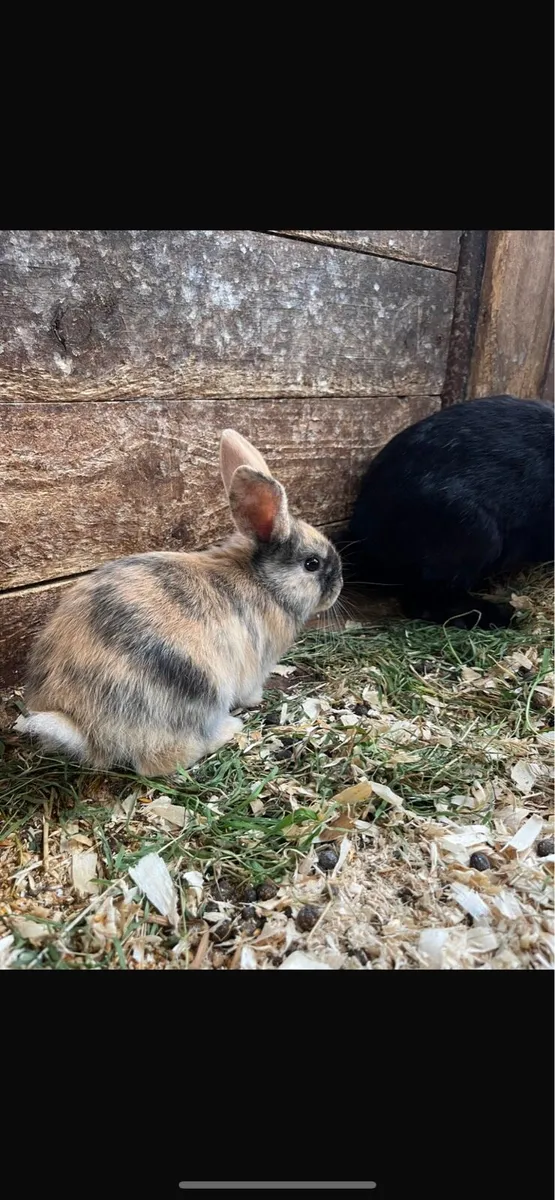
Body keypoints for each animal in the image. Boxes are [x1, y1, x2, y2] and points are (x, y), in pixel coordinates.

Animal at [14, 429, 343, 776]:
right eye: (312, 564)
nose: (339, 586)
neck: (265, 582)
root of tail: (81, 726)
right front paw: (255, 701)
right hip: (201, 691)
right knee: (160, 761)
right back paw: (229, 730)